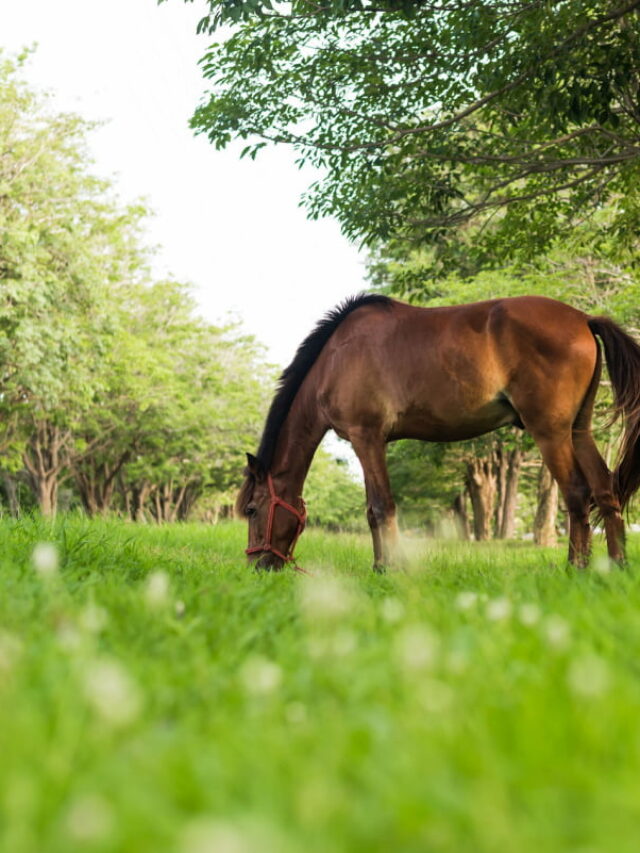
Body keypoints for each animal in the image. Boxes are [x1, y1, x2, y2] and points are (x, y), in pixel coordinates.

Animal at [237, 293, 640, 570]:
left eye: (253, 510)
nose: (258, 567)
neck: (335, 359)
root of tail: (584, 318)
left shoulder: (367, 438)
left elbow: (382, 506)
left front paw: (390, 569)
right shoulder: (369, 443)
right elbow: (371, 511)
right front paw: (379, 566)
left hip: (550, 432)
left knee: (577, 493)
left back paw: (576, 568)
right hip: (578, 430)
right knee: (605, 491)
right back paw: (615, 567)